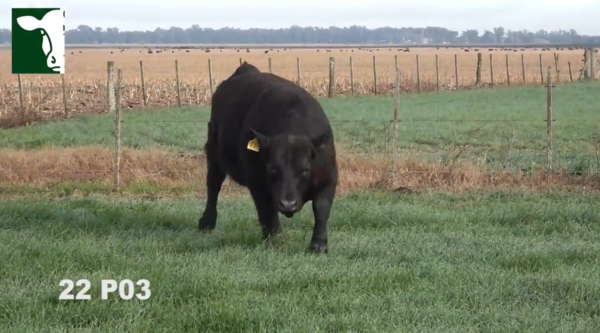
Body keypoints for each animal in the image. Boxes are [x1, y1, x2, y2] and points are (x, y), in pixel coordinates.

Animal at [197, 61, 338, 252]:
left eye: (305, 169)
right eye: (272, 168)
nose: (288, 204)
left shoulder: (328, 179)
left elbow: (321, 208)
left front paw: (319, 245)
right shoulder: (257, 183)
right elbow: (267, 211)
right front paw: (274, 239)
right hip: (214, 153)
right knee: (213, 185)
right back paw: (207, 222)